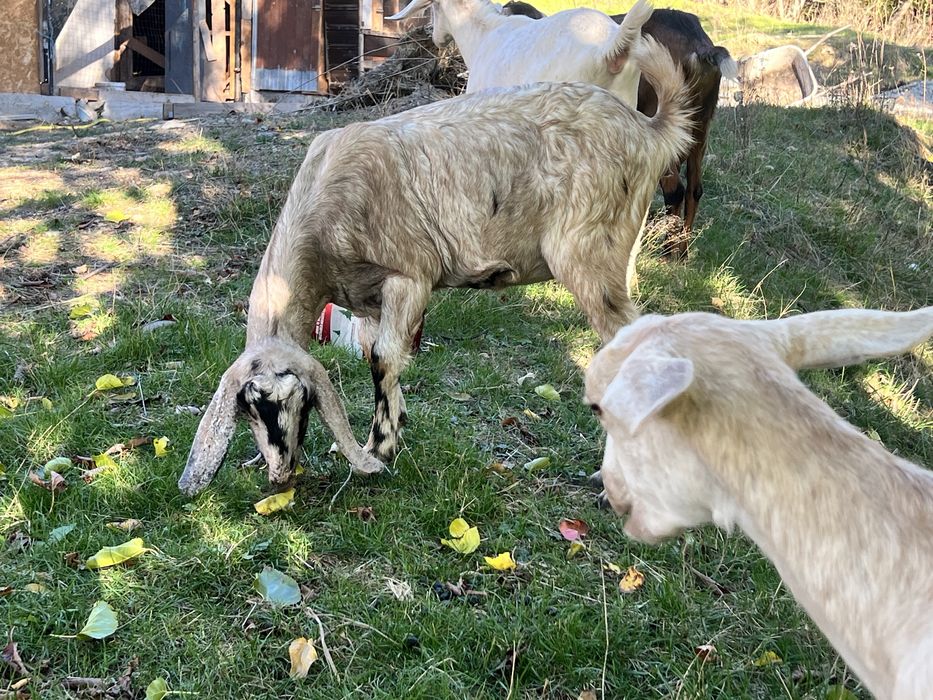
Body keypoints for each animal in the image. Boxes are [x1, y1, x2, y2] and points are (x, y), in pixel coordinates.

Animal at [178, 38, 693, 496]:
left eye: (292, 399)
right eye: (248, 410)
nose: (280, 475)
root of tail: (649, 130)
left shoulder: (410, 275)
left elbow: (384, 356)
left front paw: (380, 449)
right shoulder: (368, 300)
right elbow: (376, 355)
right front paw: (394, 426)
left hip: (590, 251)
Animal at [502, 1, 738, 258]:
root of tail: (700, 46)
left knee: (675, 190)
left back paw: (666, 252)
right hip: (700, 127)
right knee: (695, 189)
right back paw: (682, 253)